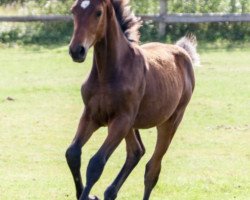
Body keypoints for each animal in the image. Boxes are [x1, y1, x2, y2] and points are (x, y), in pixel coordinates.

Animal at [65, 0, 198, 200]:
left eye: (98, 12)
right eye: (74, 11)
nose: (76, 50)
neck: (108, 73)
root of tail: (183, 51)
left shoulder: (121, 120)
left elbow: (96, 164)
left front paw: (88, 195)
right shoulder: (91, 115)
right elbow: (72, 154)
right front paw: (89, 195)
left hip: (169, 121)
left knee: (152, 169)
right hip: (132, 125)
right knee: (136, 151)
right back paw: (110, 192)